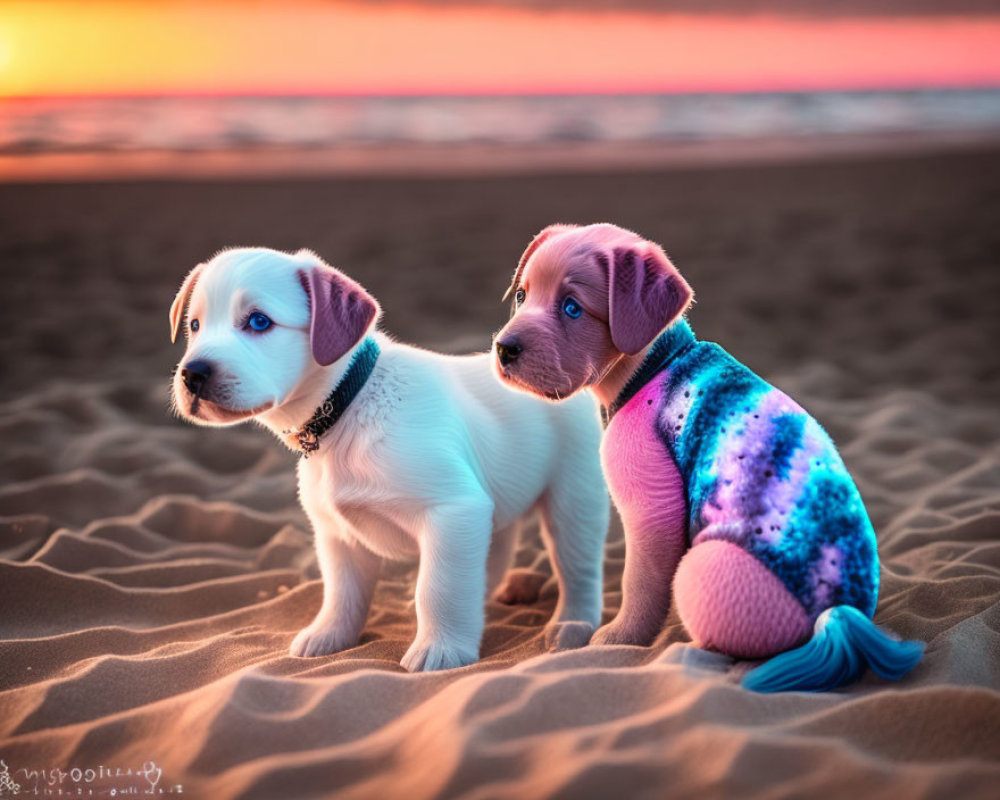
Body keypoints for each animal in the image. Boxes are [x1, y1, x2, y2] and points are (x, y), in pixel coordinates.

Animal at [170, 247, 608, 672]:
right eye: (194, 326)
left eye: (259, 322)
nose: (192, 374)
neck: (348, 406)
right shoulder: (339, 535)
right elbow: (342, 593)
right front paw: (330, 636)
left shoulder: (454, 510)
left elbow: (437, 587)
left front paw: (441, 649)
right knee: (495, 551)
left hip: (574, 498)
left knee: (578, 569)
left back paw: (572, 624)